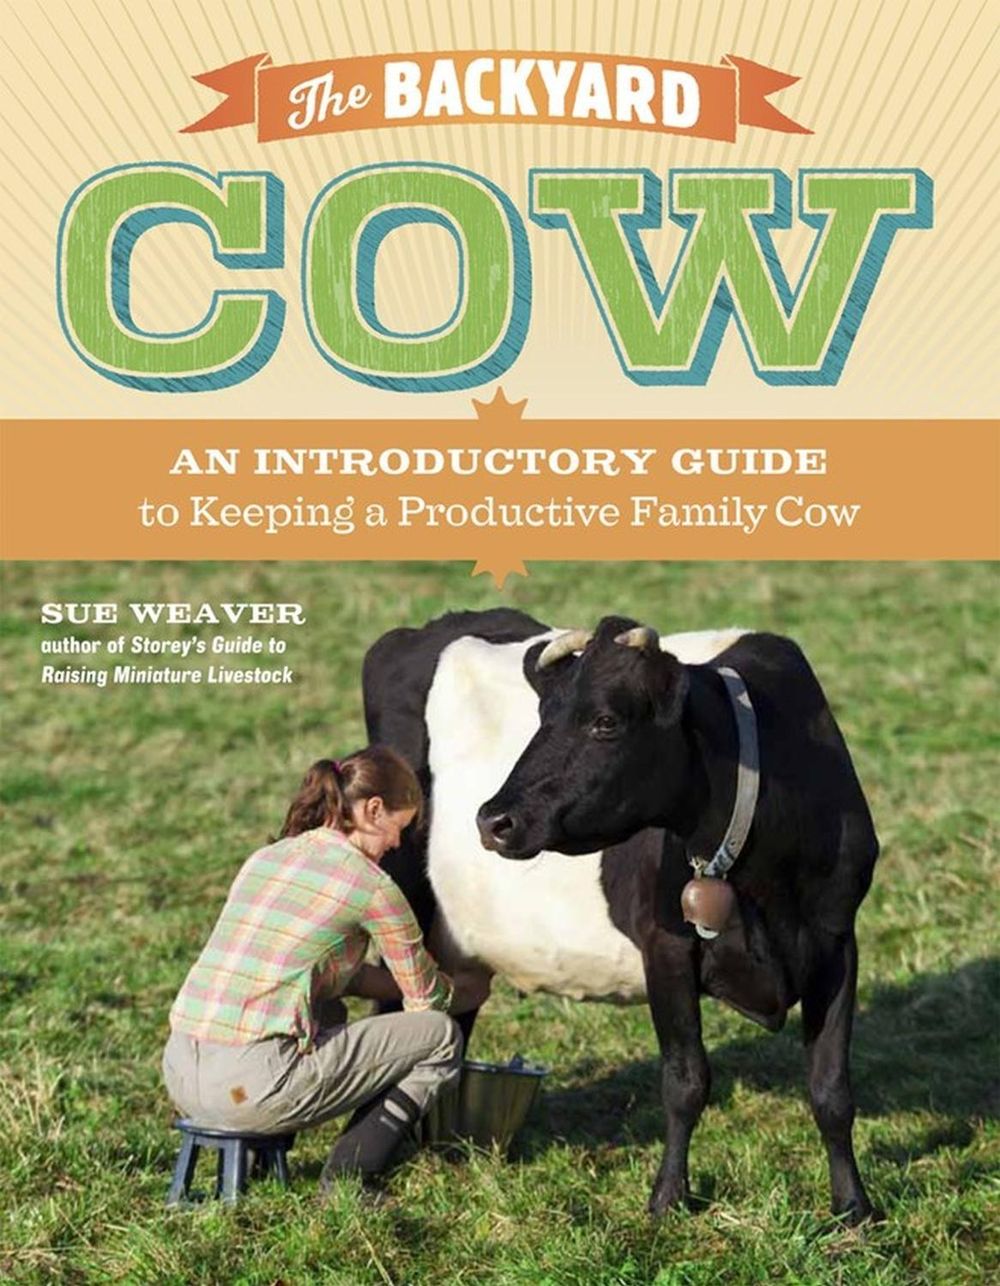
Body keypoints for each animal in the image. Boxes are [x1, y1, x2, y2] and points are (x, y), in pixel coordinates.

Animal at [363, 608, 878, 1222]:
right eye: (543, 716)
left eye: (606, 722)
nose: (493, 819)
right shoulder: (667, 946)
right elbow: (685, 1082)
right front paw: (668, 1198)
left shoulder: (836, 942)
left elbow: (832, 1089)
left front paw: (854, 1205)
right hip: (397, 895)